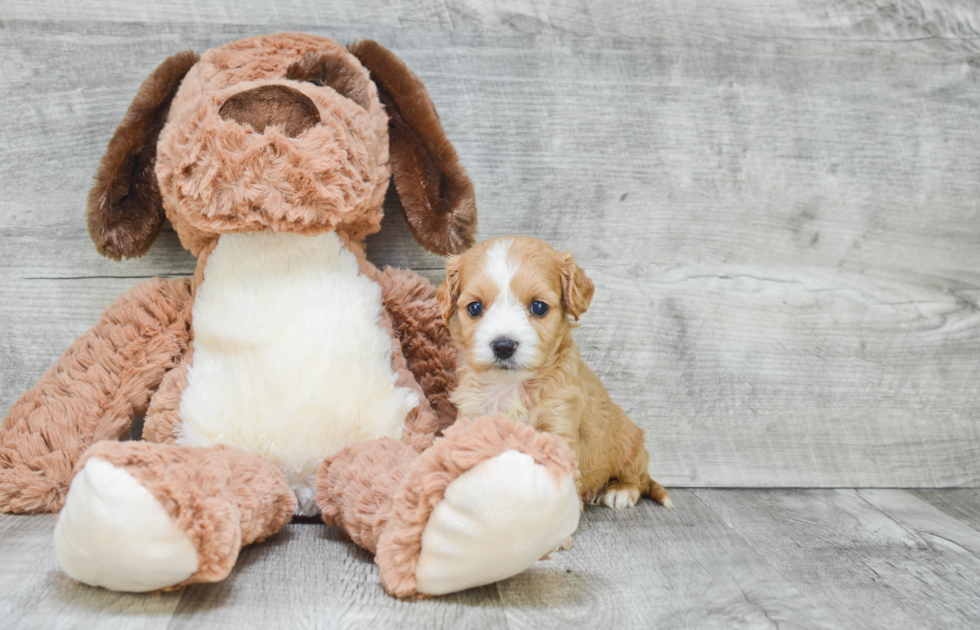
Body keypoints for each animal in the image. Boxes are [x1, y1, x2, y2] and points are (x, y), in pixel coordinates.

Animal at [438, 239, 672, 512]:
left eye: (538, 307)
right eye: (475, 308)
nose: (503, 346)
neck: (511, 386)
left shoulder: (559, 422)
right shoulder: (473, 417)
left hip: (630, 444)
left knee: (638, 478)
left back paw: (619, 490)